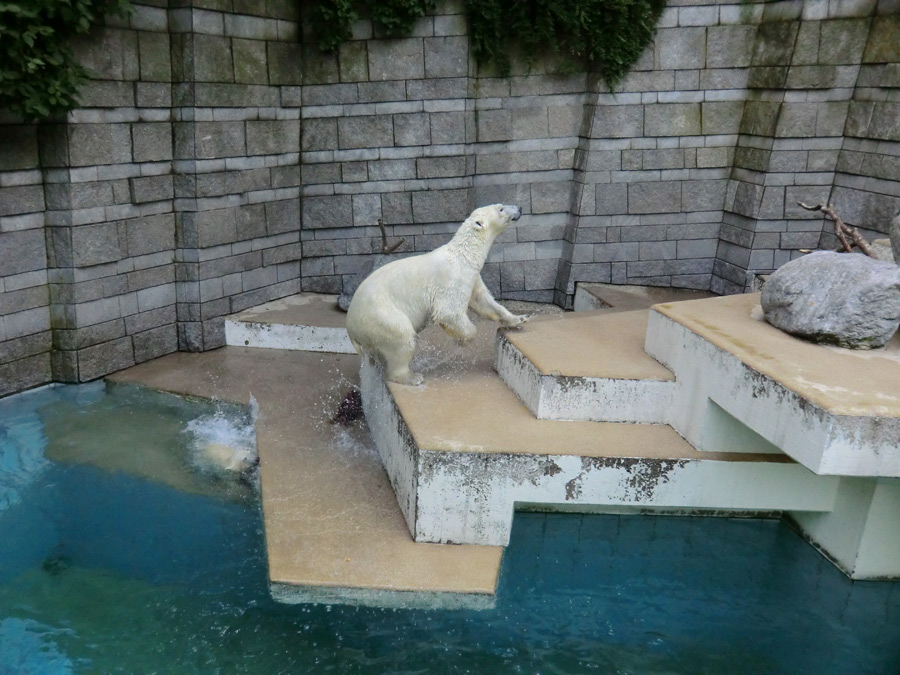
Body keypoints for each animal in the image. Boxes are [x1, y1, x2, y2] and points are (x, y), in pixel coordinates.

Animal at [344, 203, 528, 386]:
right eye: (500, 208)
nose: (519, 208)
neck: (464, 255)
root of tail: (351, 329)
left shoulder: (472, 277)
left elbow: (483, 301)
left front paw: (519, 318)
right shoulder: (452, 279)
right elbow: (448, 312)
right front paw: (463, 339)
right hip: (379, 315)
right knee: (401, 336)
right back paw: (411, 377)